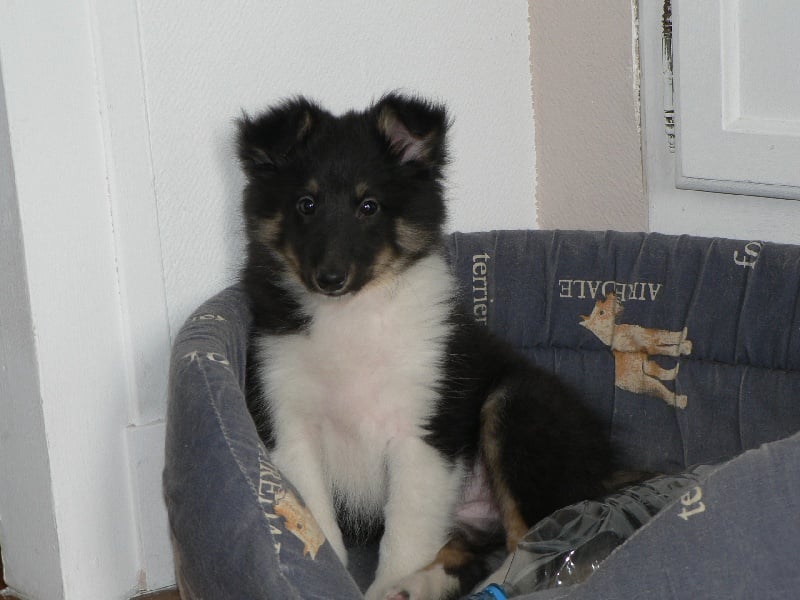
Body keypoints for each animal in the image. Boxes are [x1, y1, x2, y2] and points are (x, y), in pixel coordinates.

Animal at [238, 93, 614, 600]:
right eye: (306, 204)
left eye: (369, 206)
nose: (330, 279)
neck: (350, 315)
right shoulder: (289, 420)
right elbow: (315, 519)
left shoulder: (422, 431)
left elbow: (405, 529)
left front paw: (387, 580)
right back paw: (416, 587)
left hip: (516, 404)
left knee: (534, 543)